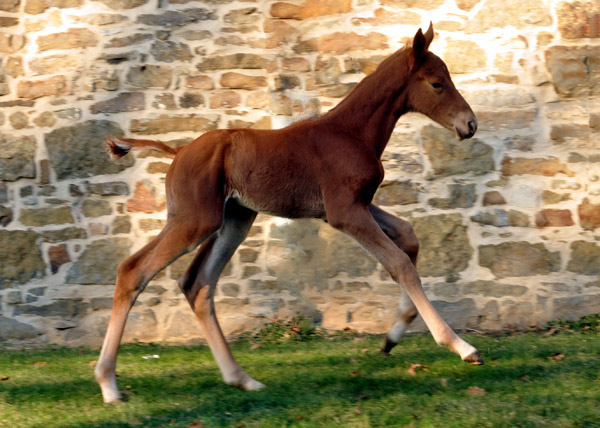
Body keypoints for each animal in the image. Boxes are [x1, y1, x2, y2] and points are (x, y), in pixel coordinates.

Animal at [97, 25, 482, 402]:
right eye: (437, 83)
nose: (470, 124)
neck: (351, 132)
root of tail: (177, 152)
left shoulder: (351, 206)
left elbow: (408, 236)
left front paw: (392, 337)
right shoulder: (345, 212)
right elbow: (400, 262)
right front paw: (461, 347)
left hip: (234, 221)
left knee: (198, 283)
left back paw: (242, 379)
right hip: (194, 221)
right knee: (133, 271)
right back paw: (109, 385)